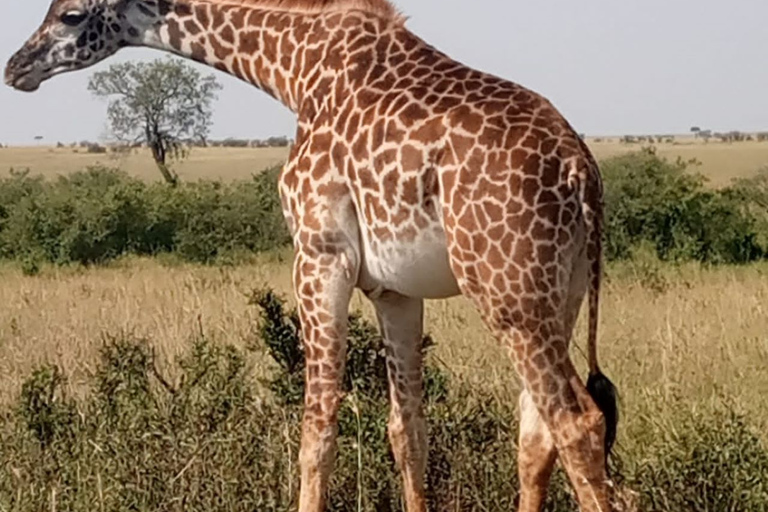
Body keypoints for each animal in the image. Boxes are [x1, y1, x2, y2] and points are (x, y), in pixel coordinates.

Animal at [4, 0, 616, 510]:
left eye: (71, 15)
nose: (16, 67)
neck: (294, 71)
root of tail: (579, 169)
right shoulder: (393, 288)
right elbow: (408, 431)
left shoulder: (319, 253)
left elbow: (316, 429)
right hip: (558, 293)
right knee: (537, 435)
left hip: (505, 290)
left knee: (578, 422)